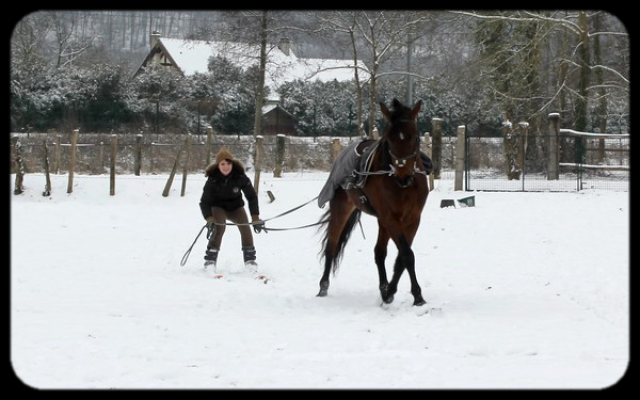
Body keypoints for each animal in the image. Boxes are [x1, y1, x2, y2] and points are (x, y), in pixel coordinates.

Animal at [316, 97, 430, 306]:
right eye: (389, 139)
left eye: (416, 137)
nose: (403, 175)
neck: (402, 186)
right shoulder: (391, 218)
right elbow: (407, 255)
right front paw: (417, 296)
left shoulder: (412, 219)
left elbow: (402, 257)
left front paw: (391, 292)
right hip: (342, 209)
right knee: (332, 246)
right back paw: (323, 287)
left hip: (382, 222)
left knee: (379, 252)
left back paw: (384, 287)